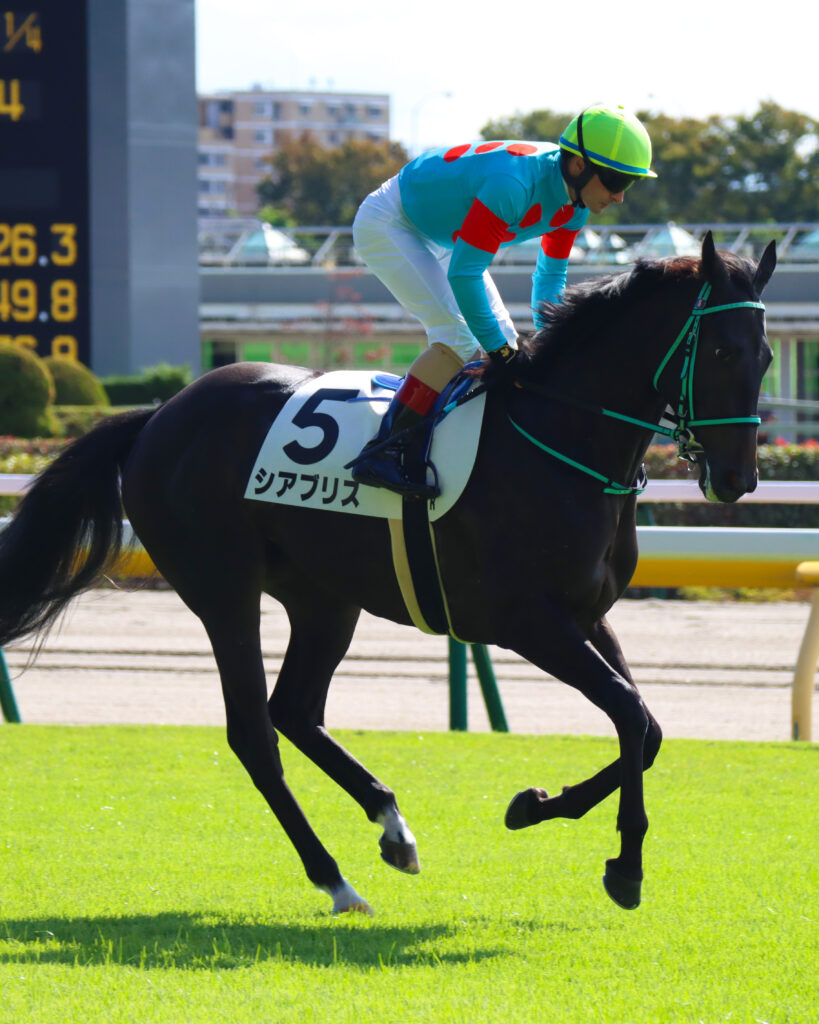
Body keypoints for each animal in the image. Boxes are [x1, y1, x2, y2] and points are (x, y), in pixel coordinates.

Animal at [0, 231, 776, 915]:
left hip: (322, 598)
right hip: (223, 590)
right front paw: (623, 866)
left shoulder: (588, 614)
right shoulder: (528, 621)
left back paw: (392, 825)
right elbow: (626, 711)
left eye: (766, 355)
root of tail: (160, 414)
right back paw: (336, 880)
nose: (737, 479)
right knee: (253, 731)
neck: (560, 440)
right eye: (720, 349)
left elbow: (645, 724)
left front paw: (534, 807)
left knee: (294, 710)